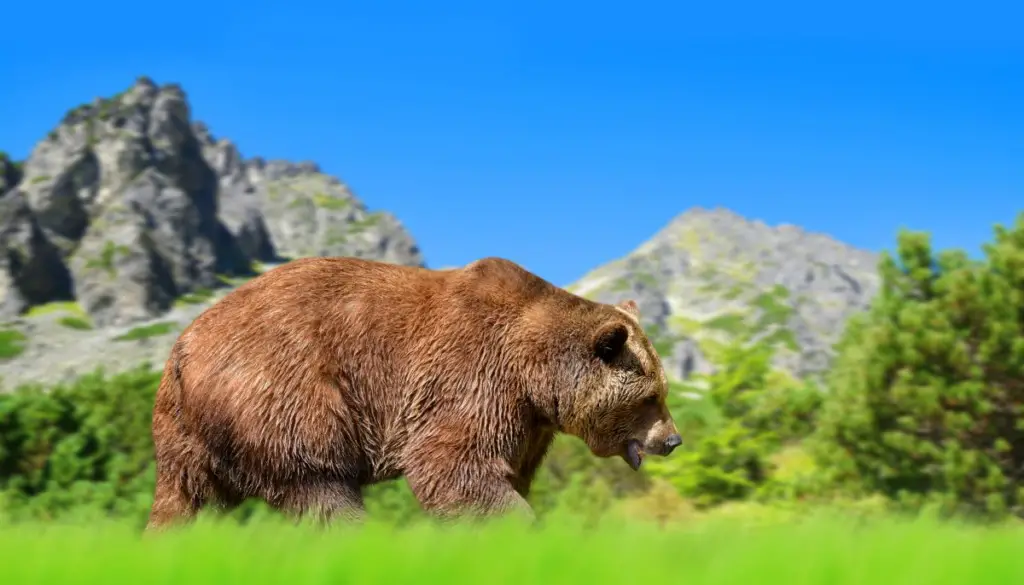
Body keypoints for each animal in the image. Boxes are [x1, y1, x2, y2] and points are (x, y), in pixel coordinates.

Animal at [144, 256, 684, 532]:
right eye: (651, 397)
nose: (673, 440)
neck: (536, 371)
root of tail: (183, 349)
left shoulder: (528, 421)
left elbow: (505, 470)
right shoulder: (472, 377)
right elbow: (453, 466)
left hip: (185, 432)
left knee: (189, 499)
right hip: (283, 389)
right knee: (318, 483)